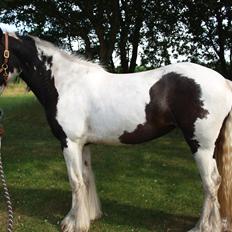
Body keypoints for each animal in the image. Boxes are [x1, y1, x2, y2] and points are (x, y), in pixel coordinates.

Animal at [0, 28, 232, 232]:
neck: (65, 83)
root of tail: (224, 81)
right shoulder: (83, 145)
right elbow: (86, 178)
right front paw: (90, 217)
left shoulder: (69, 143)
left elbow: (75, 181)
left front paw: (72, 223)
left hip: (201, 146)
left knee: (211, 182)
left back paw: (203, 227)